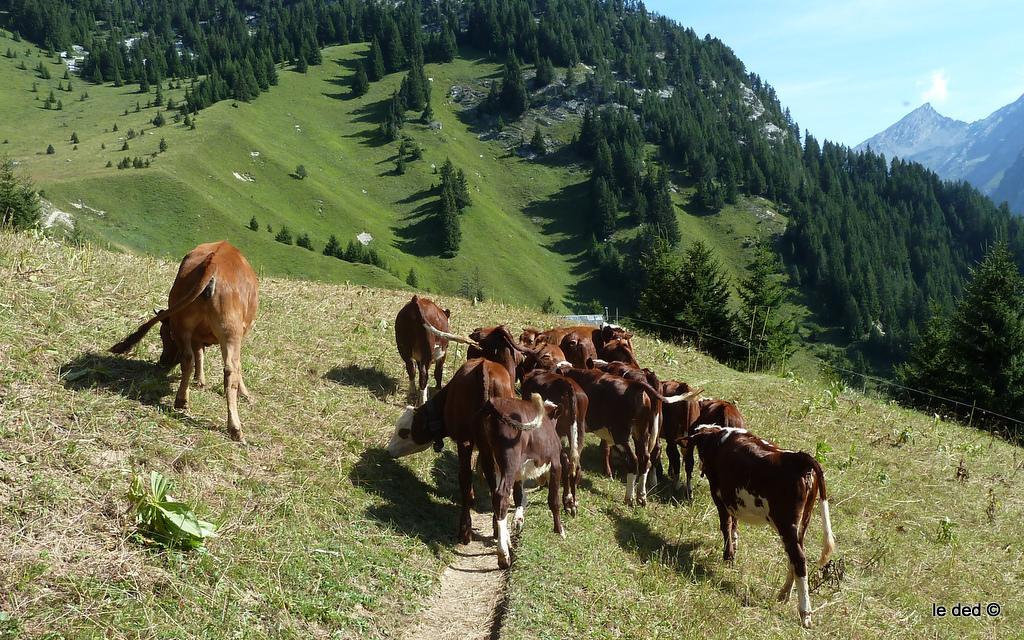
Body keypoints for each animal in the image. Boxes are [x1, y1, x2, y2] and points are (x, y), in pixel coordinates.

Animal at [108, 241, 258, 442]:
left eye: (166, 336)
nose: (163, 362)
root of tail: (214, 261)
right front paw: (245, 394)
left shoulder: (194, 336)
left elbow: (199, 354)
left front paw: (199, 380)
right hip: (231, 332)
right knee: (231, 371)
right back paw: (235, 428)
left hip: (184, 324)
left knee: (188, 358)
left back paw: (181, 400)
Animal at [479, 395, 569, 569]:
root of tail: (495, 402)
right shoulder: (556, 463)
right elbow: (554, 500)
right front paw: (559, 531)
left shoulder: (518, 473)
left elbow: (519, 495)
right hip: (510, 460)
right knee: (501, 496)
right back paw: (503, 556)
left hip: (488, 458)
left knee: (495, 496)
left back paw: (506, 543)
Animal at [524, 368, 589, 514]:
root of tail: (565, 383)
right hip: (579, 430)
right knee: (575, 465)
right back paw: (573, 502)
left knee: (565, 461)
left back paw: (567, 500)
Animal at [557, 364, 700, 503]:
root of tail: (635, 385)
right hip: (641, 434)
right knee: (646, 458)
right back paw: (642, 496)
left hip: (621, 434)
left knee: (634, 460)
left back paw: (629, 498)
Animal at [679, 421, 831, 626]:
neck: (716, 439)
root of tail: (798, 458)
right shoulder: (732, 499)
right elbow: (734, 525)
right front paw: (733, 549)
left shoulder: (719, 496)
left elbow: (726, 525)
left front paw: (728, 556)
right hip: (801, 524)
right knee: (796, 556)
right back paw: (784, 594)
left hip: (786, 525)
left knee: (799, 559)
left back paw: (804, 613)